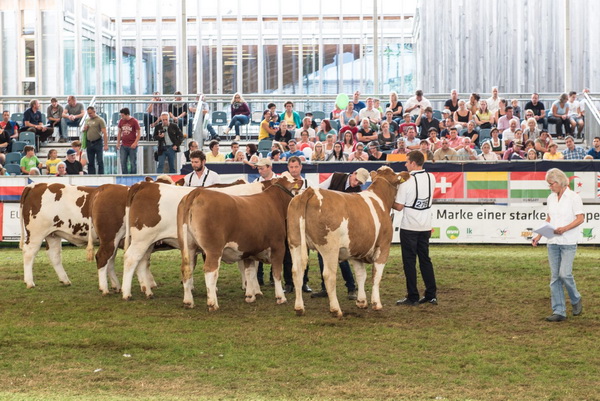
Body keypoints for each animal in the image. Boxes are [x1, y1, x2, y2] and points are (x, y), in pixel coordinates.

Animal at [120, 179, 266, 300]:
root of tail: (145, 184)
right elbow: (252, 267)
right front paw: (254, 290)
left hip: (148, 242)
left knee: (142, 261)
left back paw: (148, 291)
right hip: (142, 238)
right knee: (131, 258)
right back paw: (126, 293)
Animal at [177, 176, 300, 310]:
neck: (274, 203)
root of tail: (197, 192)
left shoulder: (249, 250)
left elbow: (250, 272)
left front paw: (250, 296)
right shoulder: (278, 246)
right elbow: (276, 272)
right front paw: (280, 297)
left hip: (188, 247)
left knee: (186, 269)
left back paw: (188, 301)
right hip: (213, 249)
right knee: (210, 271)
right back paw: (212, 303)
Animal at [288, 166, 410, 316]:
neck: (380, 198)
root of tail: (310, 191)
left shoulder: (357, 251)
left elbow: (360, 275)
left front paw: (361, 302)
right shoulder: (383, 246)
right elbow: (376, 275)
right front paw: (376, 303)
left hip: (295, 243)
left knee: (296, 272)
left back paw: (299, 307)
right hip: (330, 248)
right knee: (329, 275)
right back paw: (336, 309)